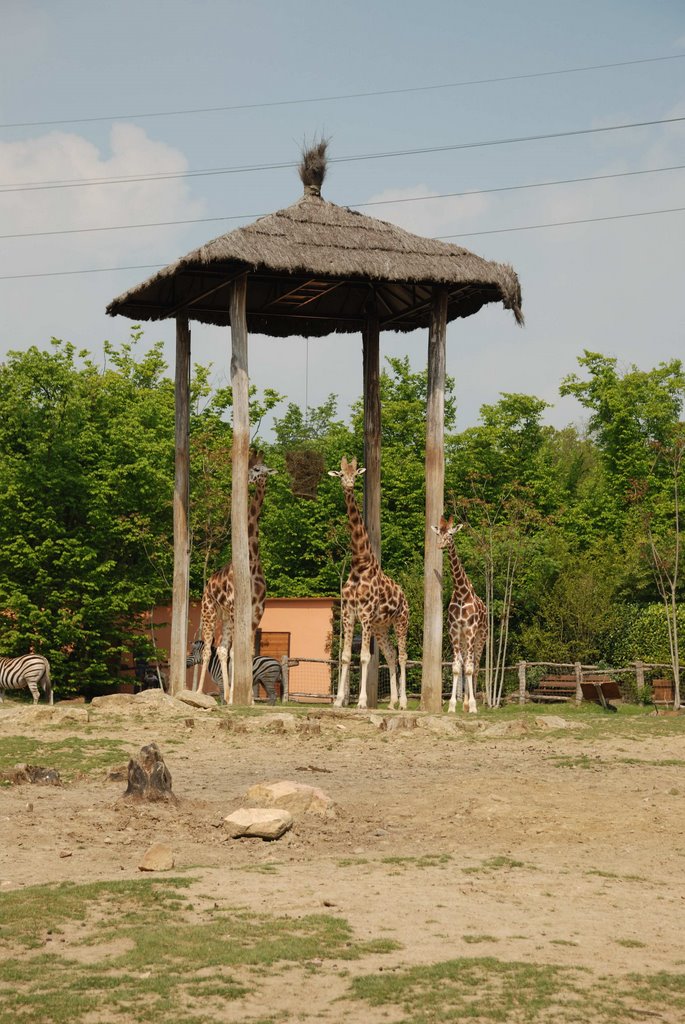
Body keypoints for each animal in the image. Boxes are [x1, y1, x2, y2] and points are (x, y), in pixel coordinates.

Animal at [194, 452, 274, 700]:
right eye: (251, 468)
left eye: (258, 469)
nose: (248, 479)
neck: (252, 561)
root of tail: (207, 584)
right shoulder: (237, 610)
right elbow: (235, 652)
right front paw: (237, 697)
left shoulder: (257, 613)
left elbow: (247, 651)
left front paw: (247, 698)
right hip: (210, 611)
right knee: (209, 648)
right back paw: (199, 693)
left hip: (226, 617)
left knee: (221, 648)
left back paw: (228, 695)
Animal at [327, 458, 409, 712]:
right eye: (340, 473)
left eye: (356, 473)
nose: (349, 484)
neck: (360, 563)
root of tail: (404, 596)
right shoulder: (348, 612)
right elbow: (345, 656)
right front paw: (339, 700)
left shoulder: (365, 614)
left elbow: (363, 656)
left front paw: (362, 702)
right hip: (381, 628)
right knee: (391, 655)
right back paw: (392, 702)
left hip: (401, 621)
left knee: (402, 656)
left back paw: (403, 702)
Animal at [430, 520, 489, 712]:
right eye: (438, 534)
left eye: (450, 534)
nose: (440, 545)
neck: (462, 594)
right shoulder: (455, 630)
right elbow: (457, 666)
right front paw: (452, 706)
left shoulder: (470, 630)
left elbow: (470, 668)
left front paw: (473, 706)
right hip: (464, 639)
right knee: (465, 663)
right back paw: (464, 703)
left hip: (481, 636)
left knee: (476, 665)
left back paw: (475, 703)